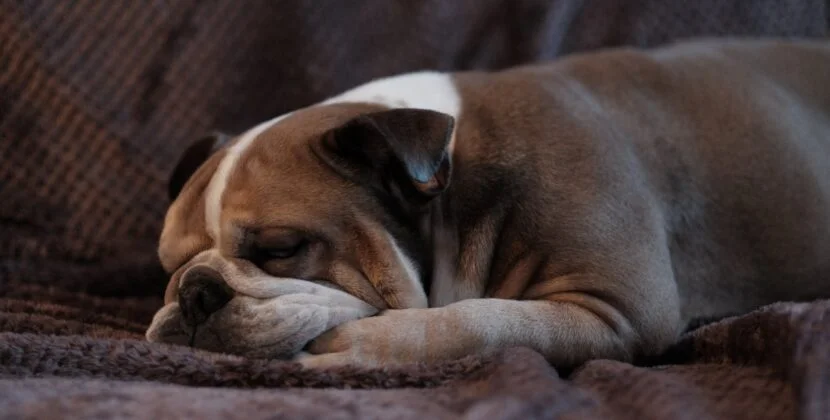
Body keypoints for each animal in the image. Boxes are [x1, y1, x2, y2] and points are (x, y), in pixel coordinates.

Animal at [145, 38, 830, 368]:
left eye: (282, 250)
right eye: (168, 266)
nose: (195, 290)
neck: (454, 184)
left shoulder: (618, 311)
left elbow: (480, 322)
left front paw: (359, 346)